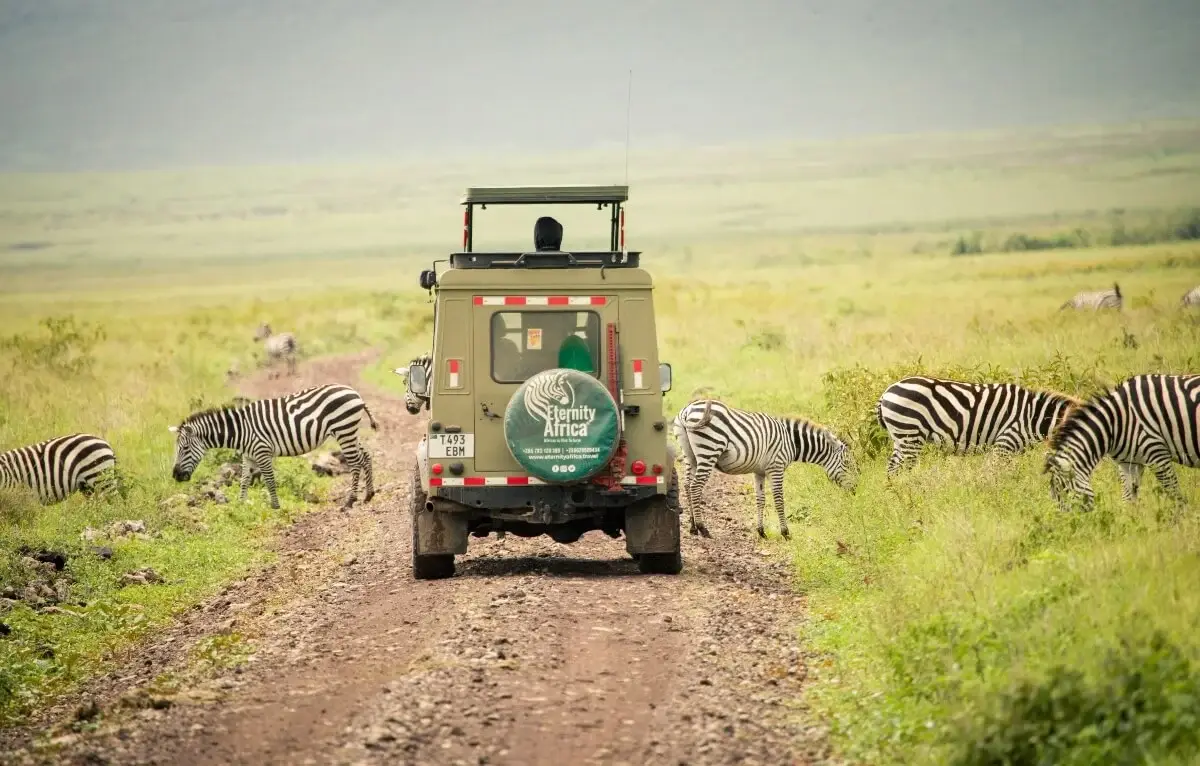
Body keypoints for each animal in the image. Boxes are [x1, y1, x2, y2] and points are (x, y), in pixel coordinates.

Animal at [169, 384, 379, 510]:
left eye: (185, 449)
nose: (176, 476)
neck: (241, 430)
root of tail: (354, 392)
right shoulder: (248, 455)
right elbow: (244, 480)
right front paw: (241, 504)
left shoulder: (262, 452)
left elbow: (269, 480)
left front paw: (276, 506)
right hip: (349, 432)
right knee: (365, 456)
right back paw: (368, 495)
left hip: (344, 430)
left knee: (355, 463)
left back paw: (350, 502)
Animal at [672, 399, 857, 540]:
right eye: (848, 464)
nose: (855, 490)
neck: (791, 441)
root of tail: (687, 410)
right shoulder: (776, 467)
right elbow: (779, 500)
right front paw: (785, 532)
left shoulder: (759, 471)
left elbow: (760, 500)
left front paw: (761, 531)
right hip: (709, 450)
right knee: (695, 487)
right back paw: (703, 528)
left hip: (690, 455)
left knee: (687, 485)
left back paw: (693, 527)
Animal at [876, 376, 1082, 476]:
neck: (1034, 417)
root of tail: (887, 392)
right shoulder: (1006, 442)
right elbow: (996, 471)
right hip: (910, 436)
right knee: (897, 469)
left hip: (901, 438)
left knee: (892, 468)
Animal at [1044, 373, 1199, 511]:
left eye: (1064, 492)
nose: (1069, 523)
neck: (1115, 423)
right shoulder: (1128, 463)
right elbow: (1128, 499)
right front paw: (1129, 521)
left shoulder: (1157, 454)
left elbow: (1175, 496)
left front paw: (1180, 521)